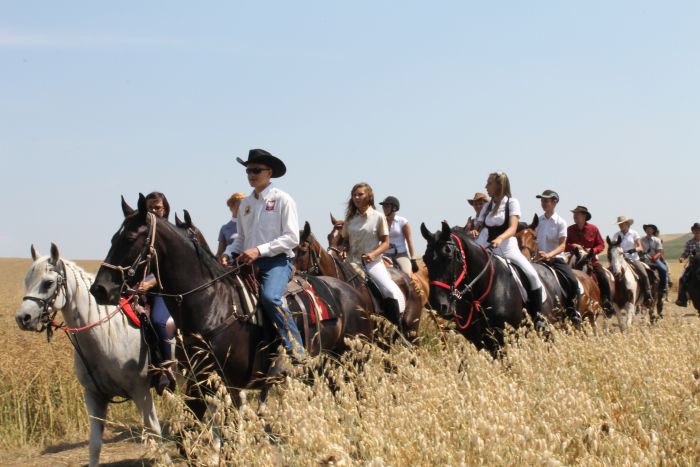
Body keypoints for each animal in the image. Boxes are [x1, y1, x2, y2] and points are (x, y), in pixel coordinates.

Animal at [15, 245, 161, 467]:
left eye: (48, 283)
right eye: (26, 281)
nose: (23, 318)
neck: (105, 335)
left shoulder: (141, 390)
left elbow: (154, 429)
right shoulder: (94, 395)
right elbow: (94, 444)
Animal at [91, 196, 374, 430]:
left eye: (130, 239)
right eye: (113, 239)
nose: (100, 289)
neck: (213, 303)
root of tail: (352, 290)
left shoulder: (230, 383)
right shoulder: (199, 382)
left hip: (353, 361)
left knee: (359, 397)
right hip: (327, 365)